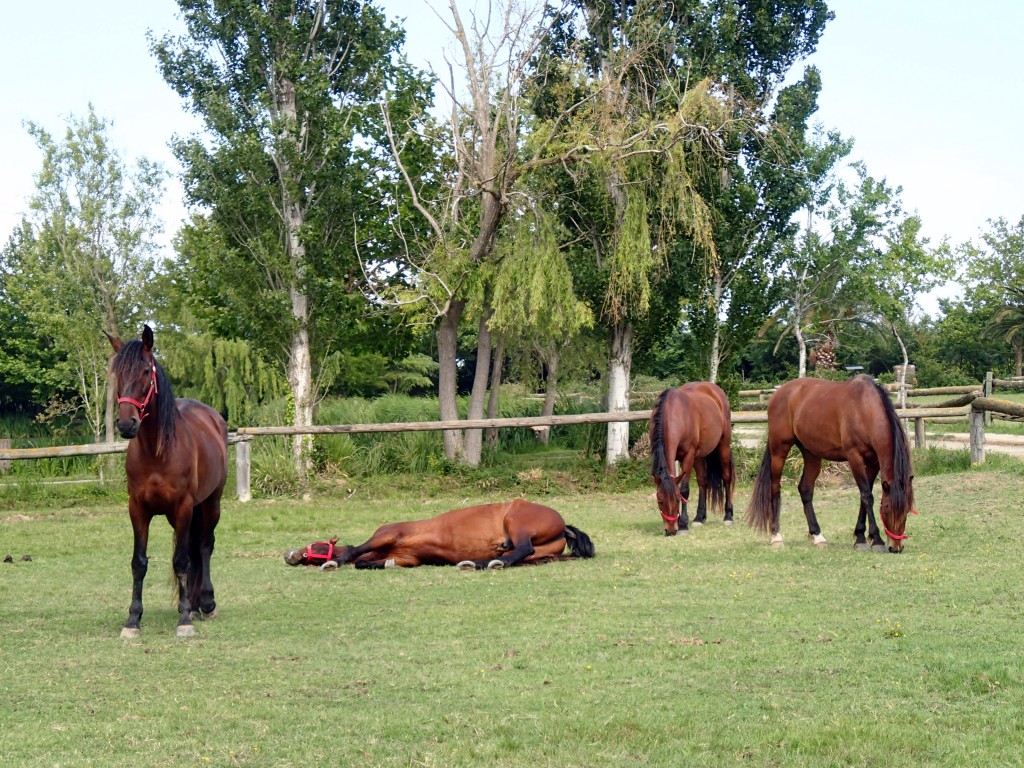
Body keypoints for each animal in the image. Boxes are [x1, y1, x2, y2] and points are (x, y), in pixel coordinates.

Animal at [107, 325, 227, 638]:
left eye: (145, 372)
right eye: (118, 373)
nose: (126, 424)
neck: (157, 452)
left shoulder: (183, 507)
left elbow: (181, 561)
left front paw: (183, 620)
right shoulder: (138, 510)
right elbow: (139, 563)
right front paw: (133, 620)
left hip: (210, 504)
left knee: (204, 546)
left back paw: (205, 604)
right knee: (195, 549)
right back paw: (195, 605)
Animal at [647, 382, 737, 536]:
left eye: (677, 499)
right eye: (660, 501)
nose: (671, 530)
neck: (674, 414)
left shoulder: (688, 456)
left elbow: (684, 489)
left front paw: (683, 524)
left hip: (723, 447)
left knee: (726, 478)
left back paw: (728, 516)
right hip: (698, 457)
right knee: (702, 481)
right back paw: (699, 518)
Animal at [745, 376, 921, 552]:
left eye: (907, 511)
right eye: (886, 509)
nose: (896, 547)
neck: (864, 410)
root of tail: (779, 393)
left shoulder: (874, 463)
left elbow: (865, 496)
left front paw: (860, 537)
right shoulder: (854, 458)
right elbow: (867, 496)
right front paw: (875, 540)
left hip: (811, 454)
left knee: (805, 490)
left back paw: (817, 536)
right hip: (779, 450)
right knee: (775, 488)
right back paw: (776, 536)